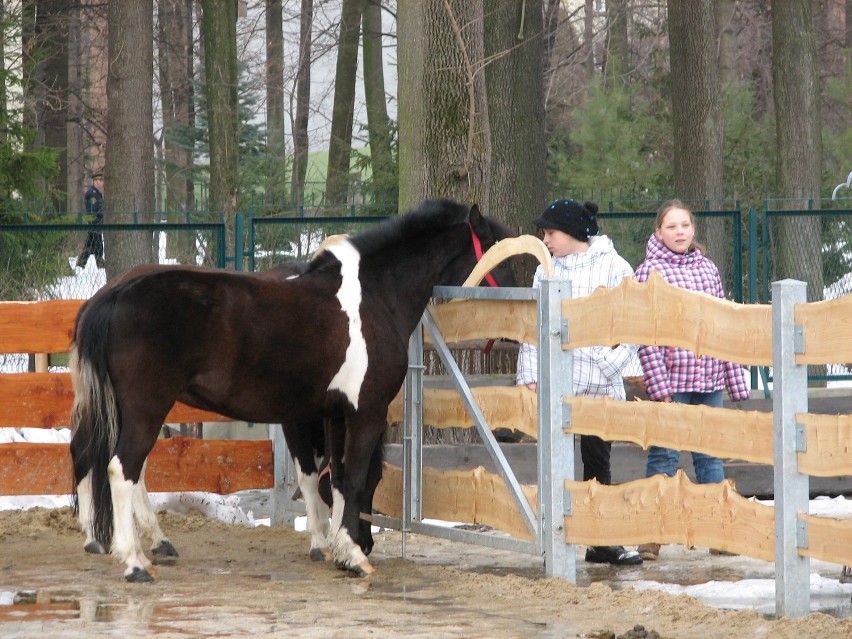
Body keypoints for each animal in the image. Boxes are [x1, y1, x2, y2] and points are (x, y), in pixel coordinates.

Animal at [68, 202, 512, 584]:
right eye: (499, 254)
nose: (506, 328)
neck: (373, 296)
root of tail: (113, 295)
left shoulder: (333, 413)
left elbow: (334, 478)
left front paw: (337, 548)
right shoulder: (365, 411)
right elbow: (353, 476)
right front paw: (352, 554)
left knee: (97, 457)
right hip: (146, 408)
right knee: (120, 469)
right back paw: (135, 561)